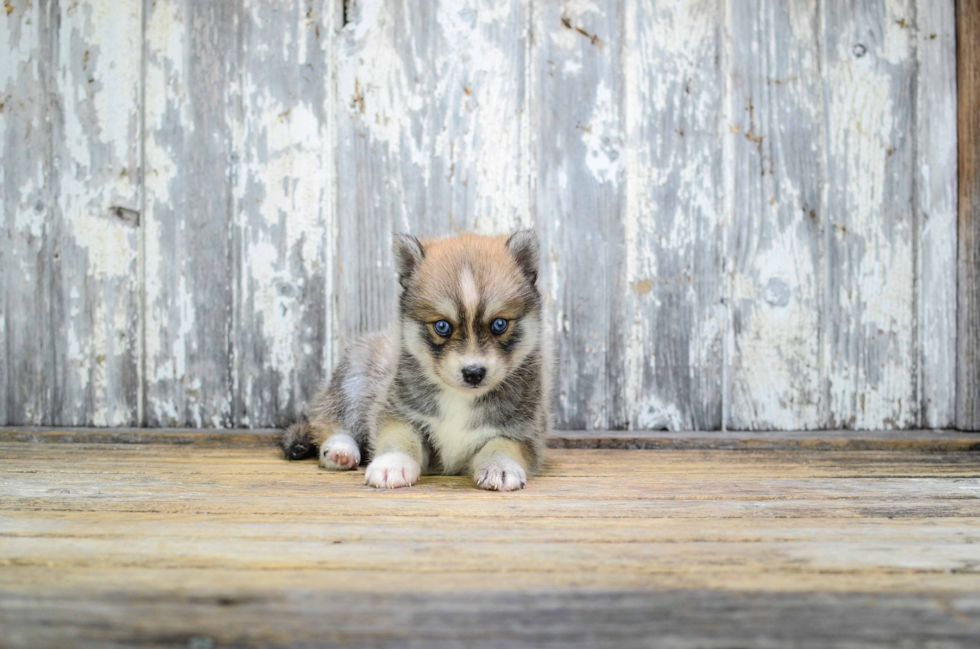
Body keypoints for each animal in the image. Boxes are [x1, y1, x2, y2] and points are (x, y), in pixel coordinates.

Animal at [282, 230, 552, 488]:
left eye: (499, 324)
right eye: (442, 326)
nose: (473, 373)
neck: (460, 399)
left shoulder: (523, 432)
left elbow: (502, 445)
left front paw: (501, 467)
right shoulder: (399, 413)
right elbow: (401, 439)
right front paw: (392, 464)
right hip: (352, 381)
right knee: (331, 422)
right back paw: (340, 451)